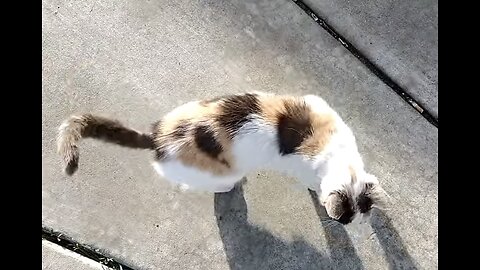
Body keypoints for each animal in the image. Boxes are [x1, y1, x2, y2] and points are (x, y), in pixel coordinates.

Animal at [57, 92, 386, 224]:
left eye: (364, 214)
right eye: (346, 219)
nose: (353, 225)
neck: (338, 153)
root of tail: (158, 136)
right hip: (221, 173)